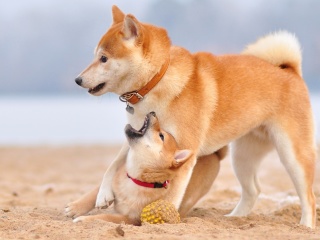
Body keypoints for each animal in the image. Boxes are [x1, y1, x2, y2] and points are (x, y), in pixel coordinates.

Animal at [67, 5, 316, 227]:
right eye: (95, 56)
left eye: (104, 59)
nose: (77, 80)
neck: (156, 81)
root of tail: (289, 70)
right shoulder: (137, 133)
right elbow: (113, 165)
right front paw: (100, 195)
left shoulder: (183, 149)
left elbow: (173, 192)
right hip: (242, 157)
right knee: (253, 190)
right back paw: (234, 218)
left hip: (291, 154)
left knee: (309, 197)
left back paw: (306, 226)